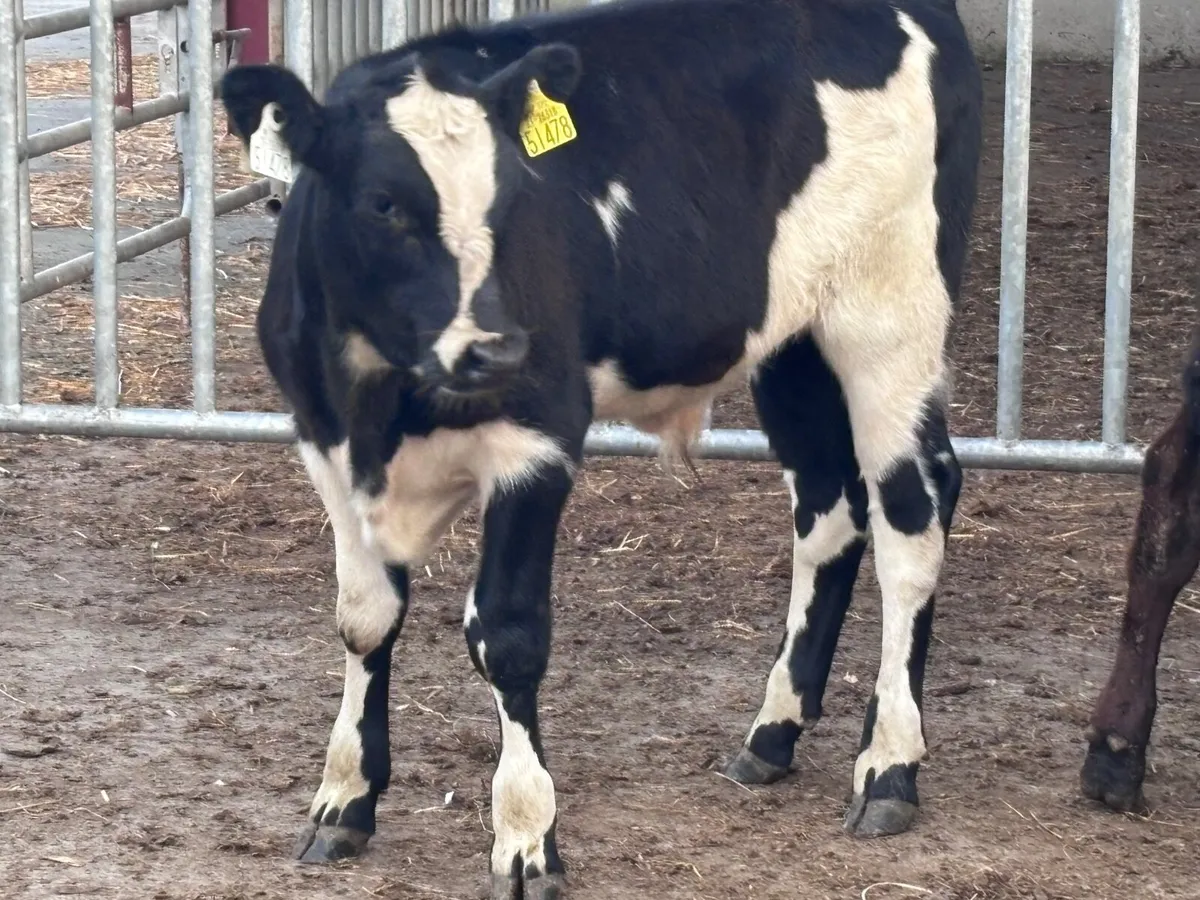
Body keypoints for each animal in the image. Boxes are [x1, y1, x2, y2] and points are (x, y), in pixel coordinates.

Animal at [219, 0, 983, 895]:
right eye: (383, 204)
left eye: (513, 199)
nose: (499, 348)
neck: (383, 399)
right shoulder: (327, 447)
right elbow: (365, 619)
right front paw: (345, 798)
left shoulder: (538, 439)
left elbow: (508, 636)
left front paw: (525, 836)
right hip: (793, 342)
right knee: (830, 507)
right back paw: (773, 732)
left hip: (891, 319)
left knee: (912, 514)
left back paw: (889, 765)